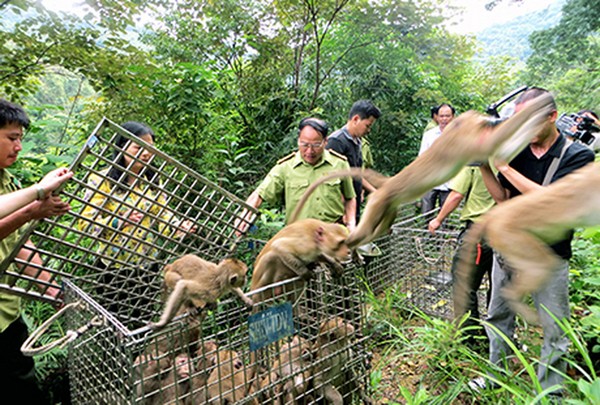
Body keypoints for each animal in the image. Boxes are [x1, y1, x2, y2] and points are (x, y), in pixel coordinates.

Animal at [288, 93, 556, 248]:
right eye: (482, 120)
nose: (490, 120)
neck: (458, 131)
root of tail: (389, 183)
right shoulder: (467, 142)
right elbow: (496, 145)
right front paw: (539, 107)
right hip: (380, 200)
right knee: (366, 226)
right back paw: (347, 241)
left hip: (387, 202)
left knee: (385, 220)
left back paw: (369, 239)